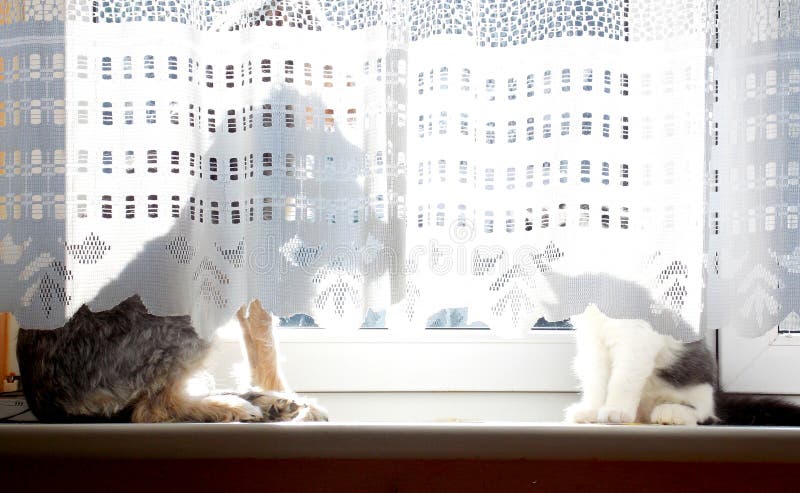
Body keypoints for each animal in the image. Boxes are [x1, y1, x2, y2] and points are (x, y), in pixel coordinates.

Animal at [564, 302, 800, 424]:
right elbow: (596, 381)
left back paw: (670, 413)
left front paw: (616, 410)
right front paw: (591, 410)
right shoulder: (592, 341)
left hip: (697, 382)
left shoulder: (637, 338)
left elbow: (623, 380)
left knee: (704, 414)